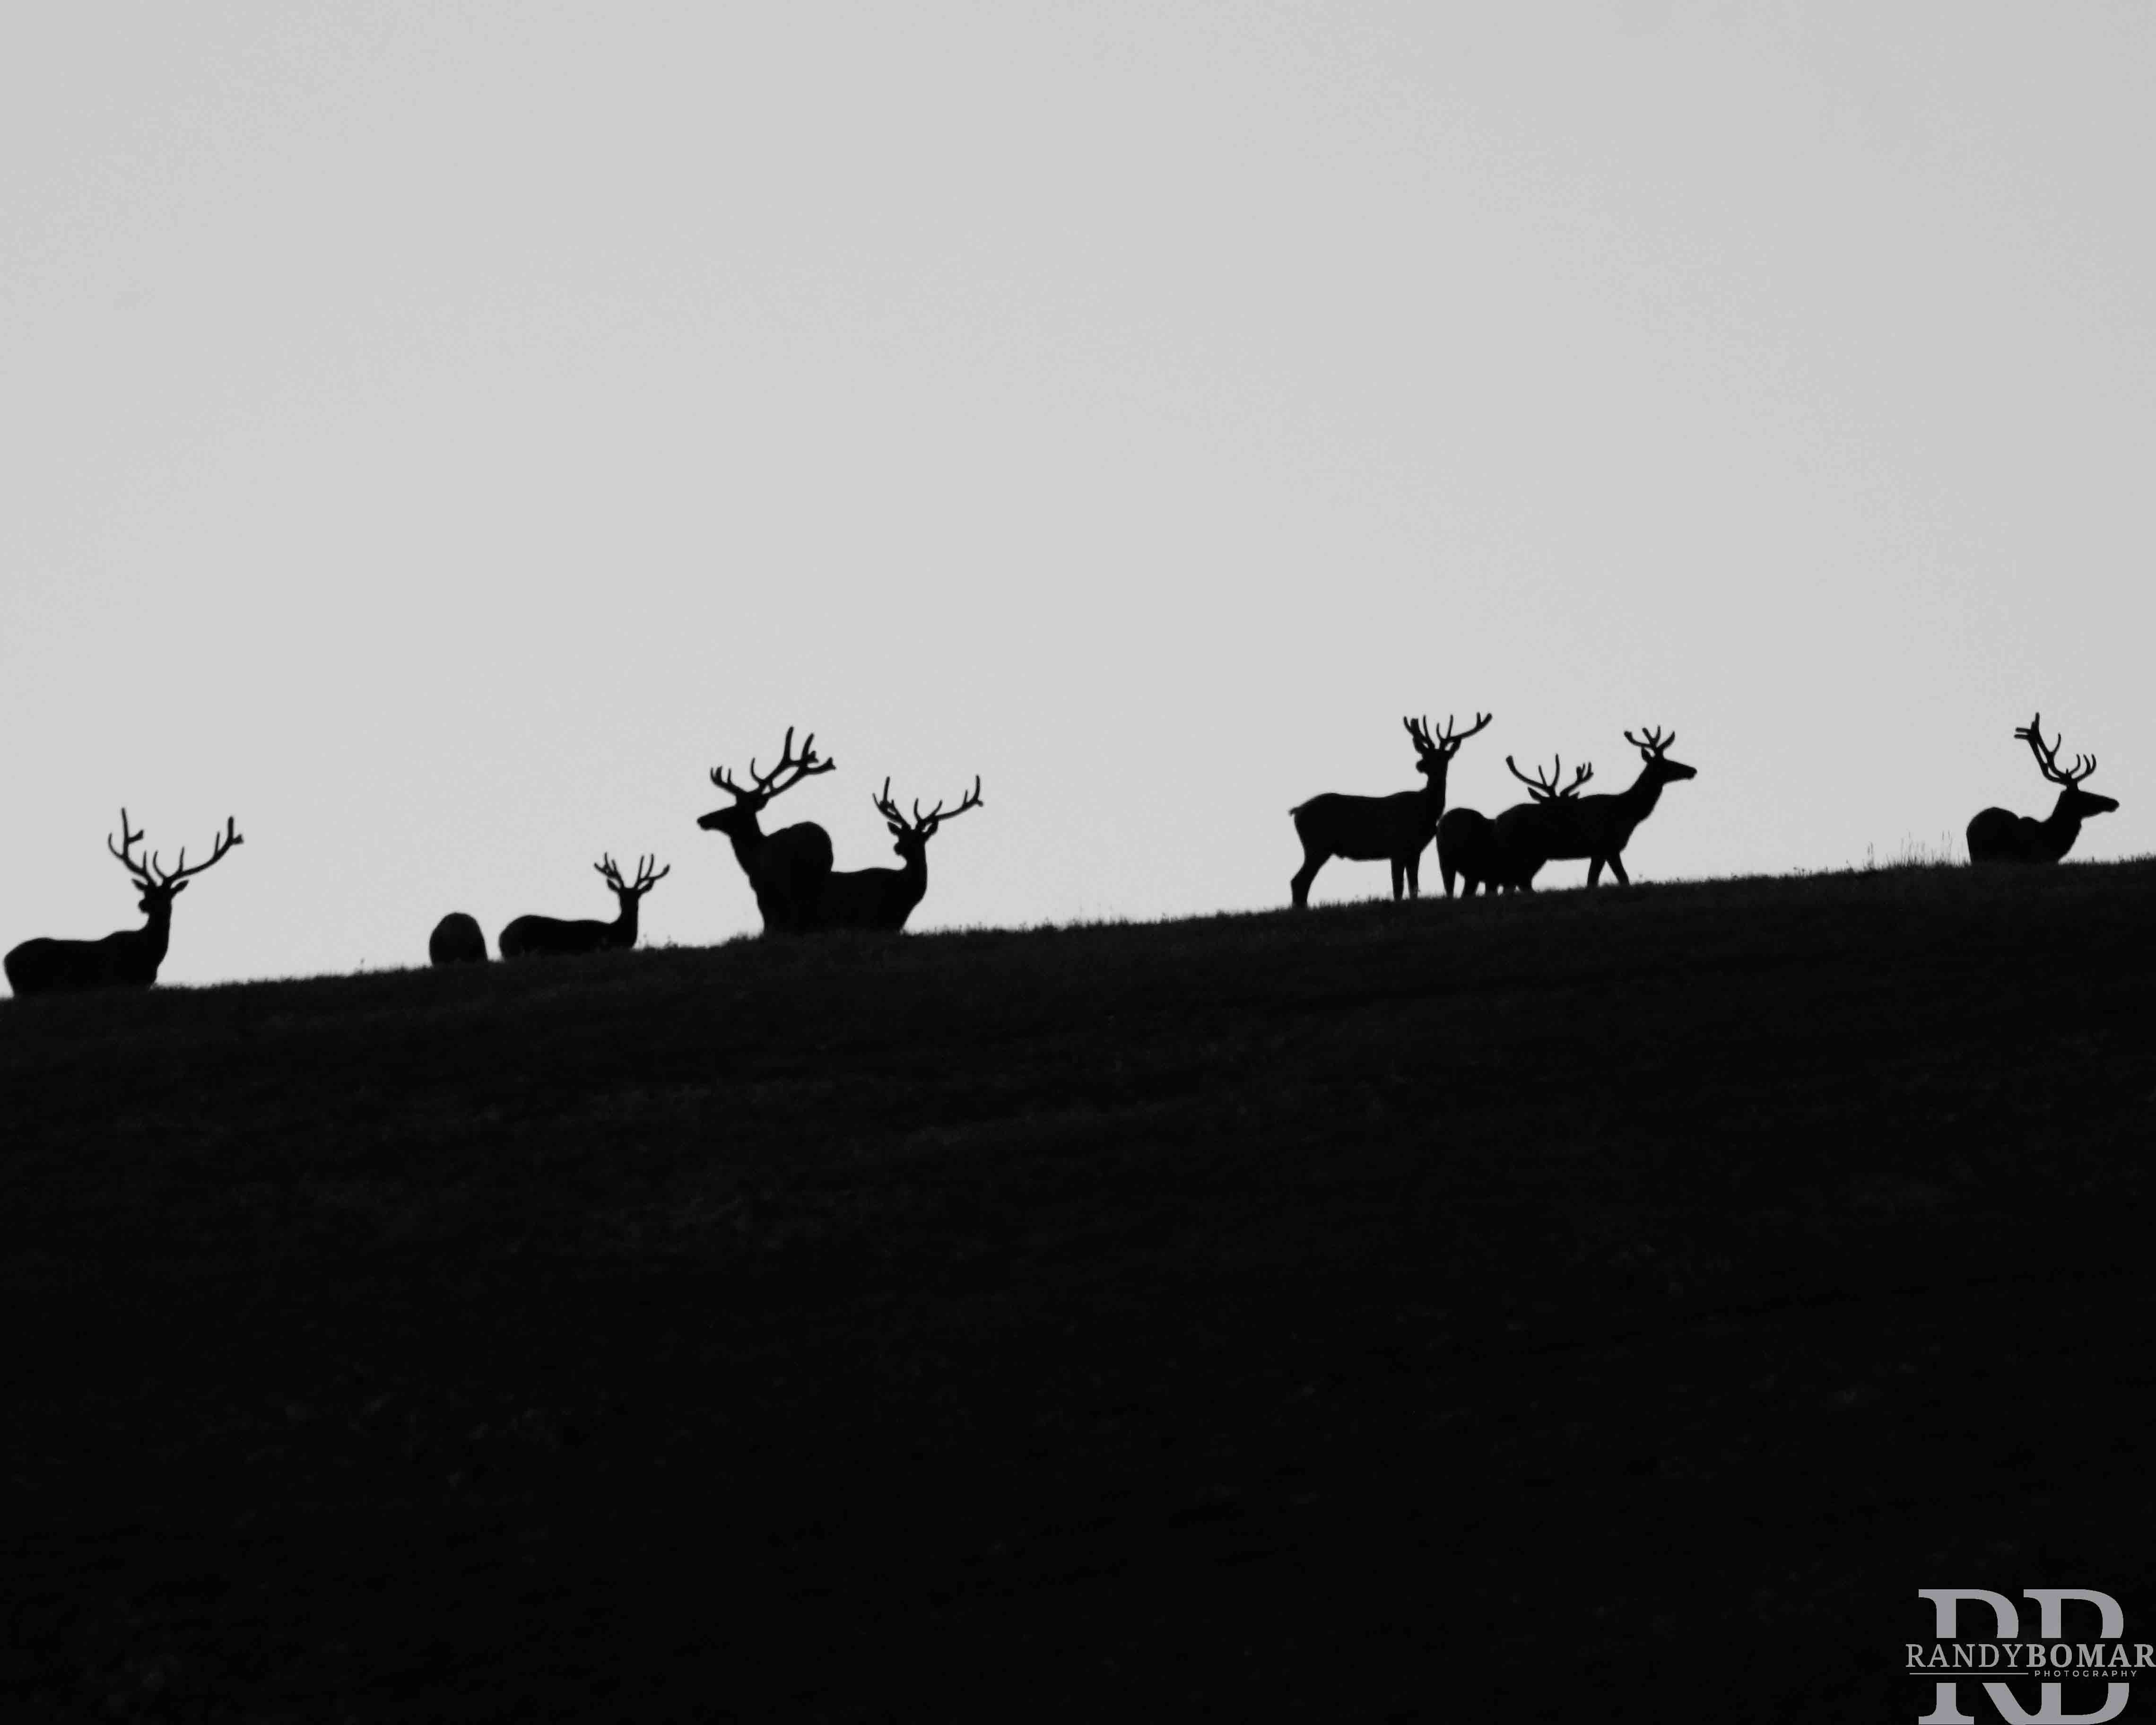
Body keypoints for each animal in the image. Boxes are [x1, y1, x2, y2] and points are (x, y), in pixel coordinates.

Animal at [4, 811, 244, 996]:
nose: (142, 904)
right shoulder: (118, 982)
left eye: (165, 895)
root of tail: (6, 960)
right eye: (147, 891)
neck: (149, 955)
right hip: (29, 988)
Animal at [697, 727, 838, 933]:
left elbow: (768, 925)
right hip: (820, 878)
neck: (750, 857)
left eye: (732, 810)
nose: (702, 819)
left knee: (796, 914)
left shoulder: (762, 889)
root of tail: (818, 842)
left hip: (788, 880)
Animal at [1288, 712, 1492, 907]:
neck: (1425, 809)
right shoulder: (1398, 847)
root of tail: (1297, 811)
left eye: (1442, 757)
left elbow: (1413, 887)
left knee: (1301, 881)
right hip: (1317, 845)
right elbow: (1398, 888)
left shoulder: (1414, 851)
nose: (1420, 765)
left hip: (1316, 847)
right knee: (1299, 880)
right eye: (1425, 754)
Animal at [1438, 757, 1593, 897]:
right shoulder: (1506, 873)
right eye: (1550, 810)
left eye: (1569, 807)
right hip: (1446, 862)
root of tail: (1442, 821)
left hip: (1472, 875)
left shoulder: (1516, 876)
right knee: (1450, 891)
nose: (1573, 829)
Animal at [1491, 726, 1697, 889]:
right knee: (1517, 882)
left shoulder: (1604, 850)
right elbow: (1616, 879)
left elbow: (1599, 880)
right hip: (1523, 851)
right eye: (1666, 764)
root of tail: (1498, 821)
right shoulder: (1606, 845)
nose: (1692, 770)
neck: (1628, 813)